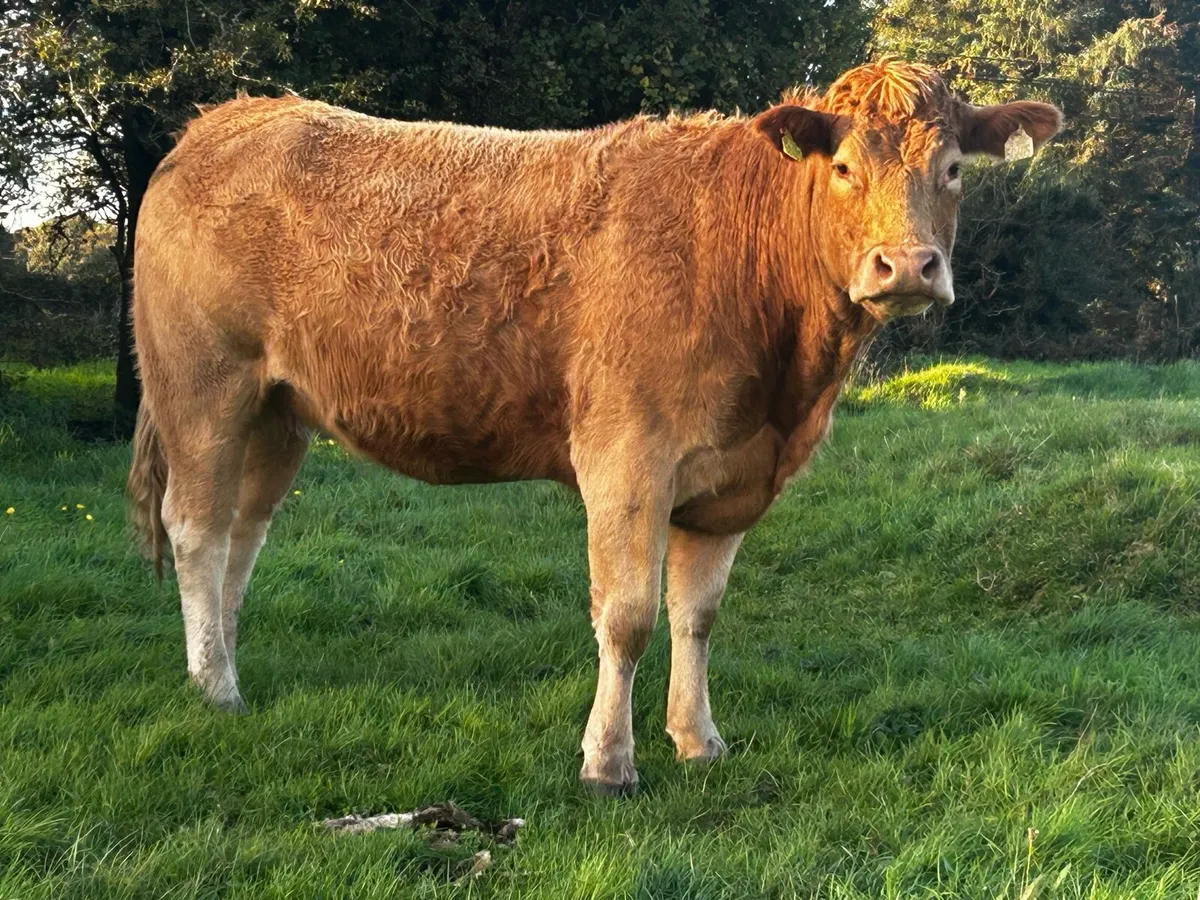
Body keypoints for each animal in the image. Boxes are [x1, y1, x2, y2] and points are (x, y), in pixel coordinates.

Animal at [127, 60, 1061, 795]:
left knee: (242, 534)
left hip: (279, 411)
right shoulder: (627, 455)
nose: (906, 267)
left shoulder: (732, 475)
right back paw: (215, 687)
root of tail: (228, 117)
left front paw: (698, 740)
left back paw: (224, 662)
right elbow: (628, 615)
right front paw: (609, 763)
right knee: (197, 526)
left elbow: (697, 614)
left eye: (952, 168)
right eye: (840, 166)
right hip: (203, 384)